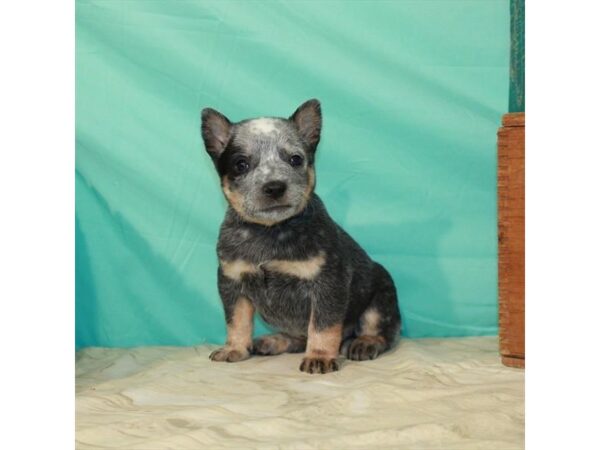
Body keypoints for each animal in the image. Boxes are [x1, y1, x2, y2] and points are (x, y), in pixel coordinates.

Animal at [202, 101, 404, 372]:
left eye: (295, 159)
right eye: (241, 164)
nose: (274, 187)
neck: (270, 232)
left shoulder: (328, 283)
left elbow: (323, 326)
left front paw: (320, 356)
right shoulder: (232, 282)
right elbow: (237, 321)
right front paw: (234, 348)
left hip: (381, 293)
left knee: (380, 330)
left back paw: (365, 342)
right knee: (299, 336)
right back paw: (276, 340)